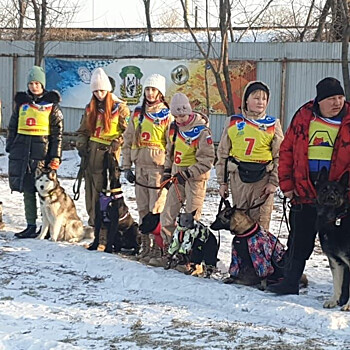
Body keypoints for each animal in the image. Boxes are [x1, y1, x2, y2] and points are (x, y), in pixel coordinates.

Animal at [314, 168, 350, 310]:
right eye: (324, 189)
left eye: (337, 191)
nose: (331, 197)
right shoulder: (335, 261)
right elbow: (337, 284)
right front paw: (334, 300)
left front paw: (347, 305)